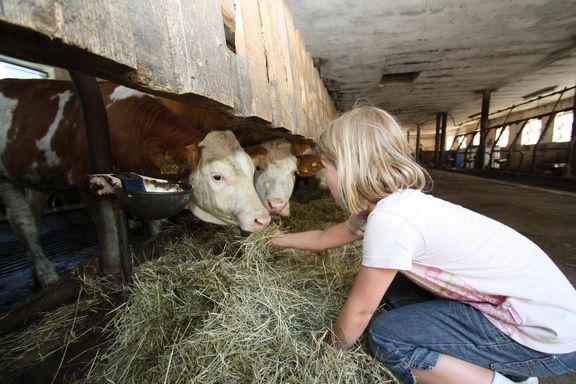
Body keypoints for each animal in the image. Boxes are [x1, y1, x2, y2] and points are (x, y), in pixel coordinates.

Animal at [0, 79, 272, 288]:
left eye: (252, 171)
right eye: (217, 176)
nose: (263, 219)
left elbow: (153, 225)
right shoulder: (84, 182)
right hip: (6, 179)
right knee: (24, 223)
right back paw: (47, 274)